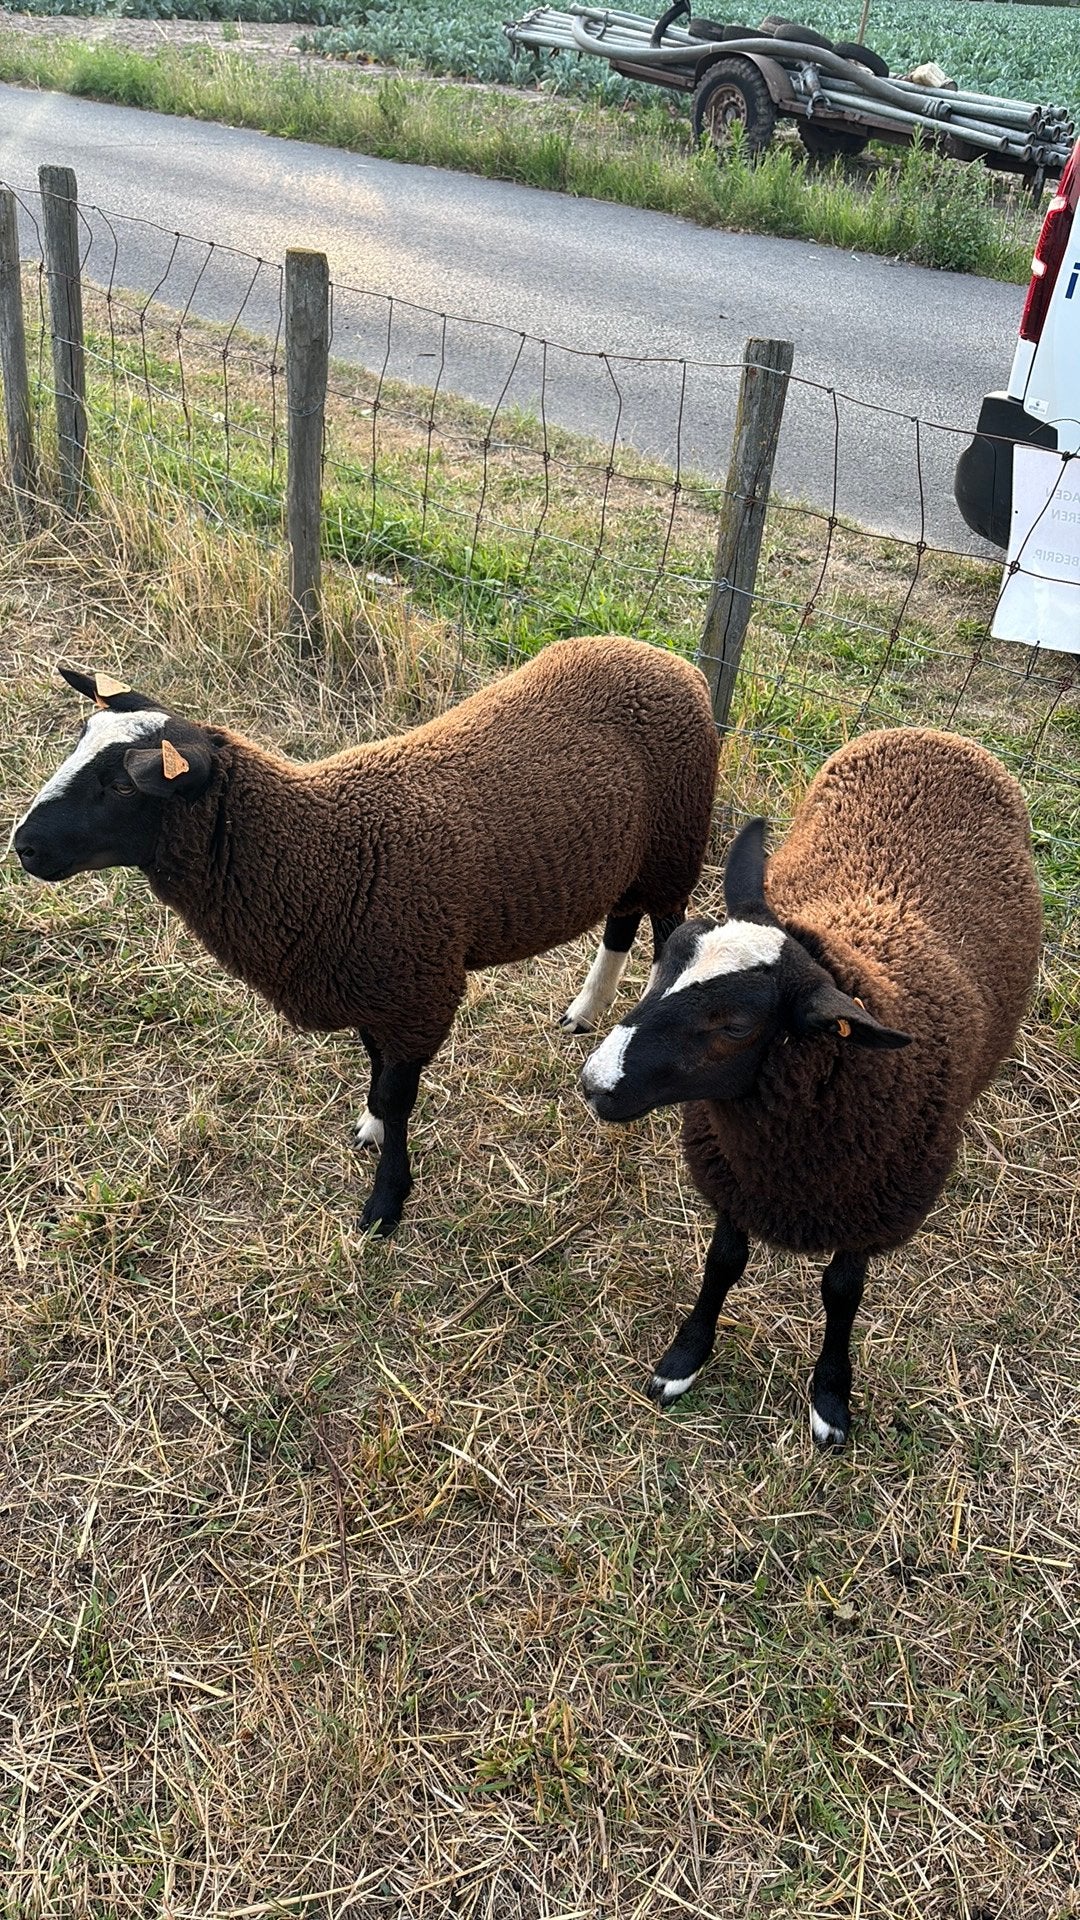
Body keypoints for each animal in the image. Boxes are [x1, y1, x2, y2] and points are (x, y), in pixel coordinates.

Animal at [13, 637, 719, 1234]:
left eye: (120, 785)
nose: (22, 845)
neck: (317, 853)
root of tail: (668, 660)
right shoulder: (371, 987)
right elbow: (378, 1074)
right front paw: (372, 1130)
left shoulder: (418, 991)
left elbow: (397, 1092)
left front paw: (385, 1203)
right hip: (629, 858)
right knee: (621, 921)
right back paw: (586, 1011)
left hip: (674, 848)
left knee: (668, 936)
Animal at [580, 727, 1042, 1447]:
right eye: (666, 959)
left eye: (736, 1025)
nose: (594, 1082)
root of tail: (937, 733)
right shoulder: (736, 1175)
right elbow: (723, 1262)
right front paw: (684, 1359)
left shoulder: (869, 1209)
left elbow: (842, 1294)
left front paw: (831, 1398)